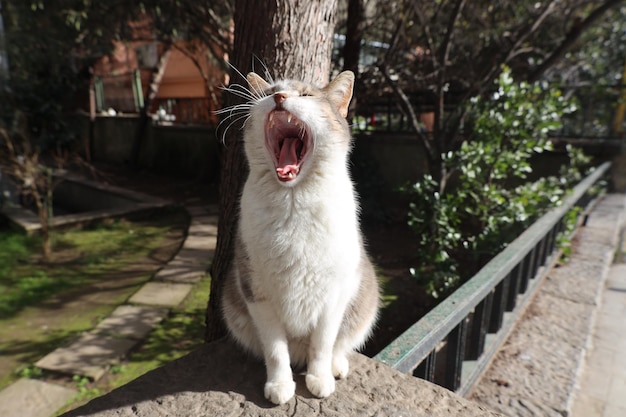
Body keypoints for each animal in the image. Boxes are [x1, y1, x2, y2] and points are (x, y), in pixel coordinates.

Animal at [222, 70, 378, 404]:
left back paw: (336, 367)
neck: (293, 202)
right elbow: (275, 350)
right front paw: (280, 385)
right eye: (269, 92)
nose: (280, 97)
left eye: (306, 95)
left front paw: (319, 380)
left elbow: (322, 344)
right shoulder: (256, 293)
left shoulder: (334, 294)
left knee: (338, 345)